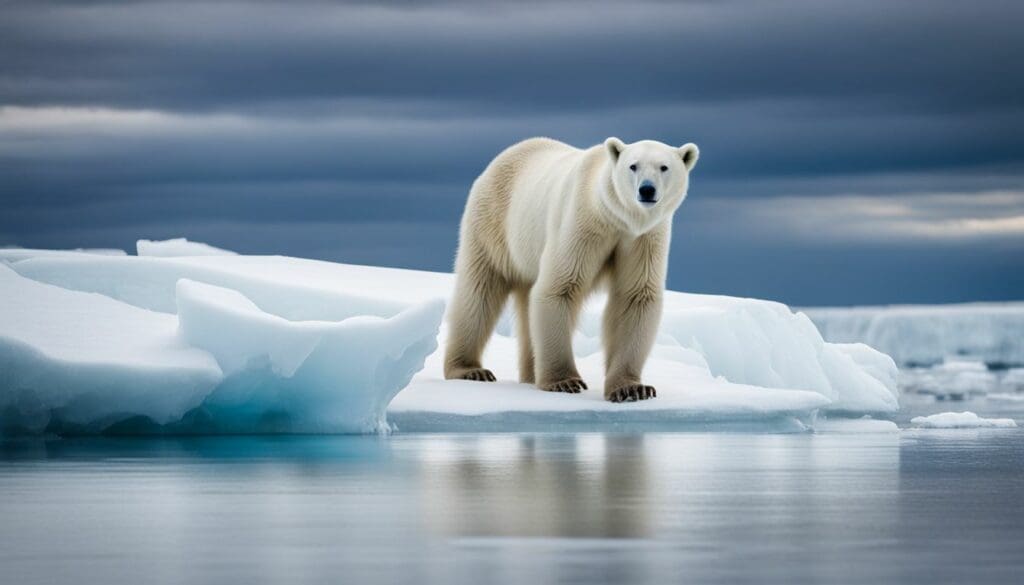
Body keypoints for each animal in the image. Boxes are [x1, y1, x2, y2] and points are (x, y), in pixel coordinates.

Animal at [444, 137, 700, 403]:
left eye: (664, 167)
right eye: (633, 165)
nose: (647, 190)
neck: (614, 216)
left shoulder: (643, 239)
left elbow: (635, 296)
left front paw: (632, 389)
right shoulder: (582, 224)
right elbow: (560, 287)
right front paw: (564, 382)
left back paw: (531, 375)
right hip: (493, 225)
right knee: (479, 291)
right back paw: (470, 369)